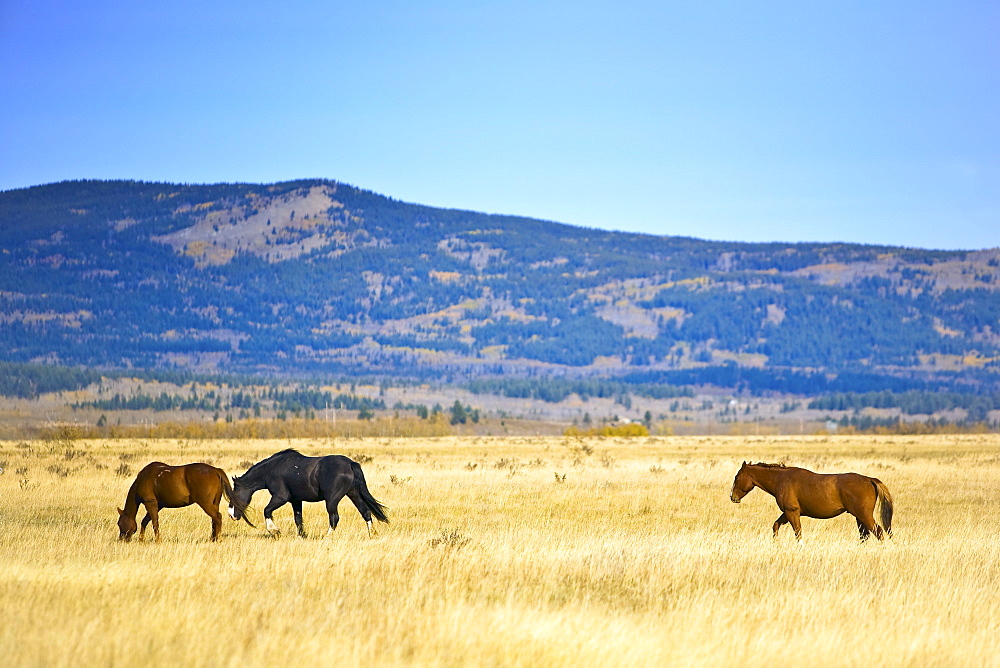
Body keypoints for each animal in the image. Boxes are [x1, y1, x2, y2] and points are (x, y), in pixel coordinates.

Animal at [117, 464, 254, 544]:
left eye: (119, 523)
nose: (121, 539)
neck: (144, 478)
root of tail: (216, 470)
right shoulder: (158, 505)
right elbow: (145, 521)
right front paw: (141, 540)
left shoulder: (150, 503)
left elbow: (154, 523)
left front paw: (157, 541)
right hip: (214, 503)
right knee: (214, 519)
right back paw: (213, 538)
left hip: (205, 503)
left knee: (217, 517)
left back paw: (218, 539)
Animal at [229, 448, 388, 536]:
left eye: (234, 495)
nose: (231, 515)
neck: (272, 470)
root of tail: (350, 463)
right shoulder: (295, 500)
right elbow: (298, 519)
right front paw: (301, 536)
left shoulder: (280, 497)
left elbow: (266, 510)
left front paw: (274, 531)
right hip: (353, 494)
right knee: (365, 512)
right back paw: (372, 534)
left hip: (332, 500)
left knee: (334, 518)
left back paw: (327, 537)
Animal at [732, 462, 896, 544]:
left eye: (737, 477)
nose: (732, 497)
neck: (781, 479)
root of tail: (869, 479)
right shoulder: (787, 513)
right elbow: (776, 526)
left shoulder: (792, 512)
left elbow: (798, 533)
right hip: (859, 517)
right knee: (865, 535)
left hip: (863, 515)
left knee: (878, 532)